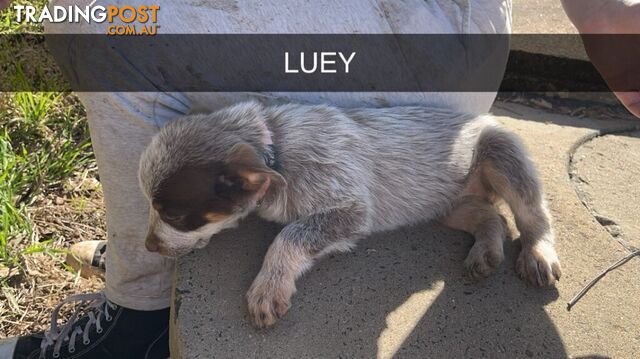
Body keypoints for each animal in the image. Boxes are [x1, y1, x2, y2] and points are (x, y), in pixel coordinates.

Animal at [139, 102, 560, 330]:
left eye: (175, 214)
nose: (148, 246)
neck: (277, 149)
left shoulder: (352, 209)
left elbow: (289, 235)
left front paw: (268, 287)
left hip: (502, 153)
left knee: (532, 216)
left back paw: (538, 253)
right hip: (450, 205)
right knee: (494, 217)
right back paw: (485, 251)